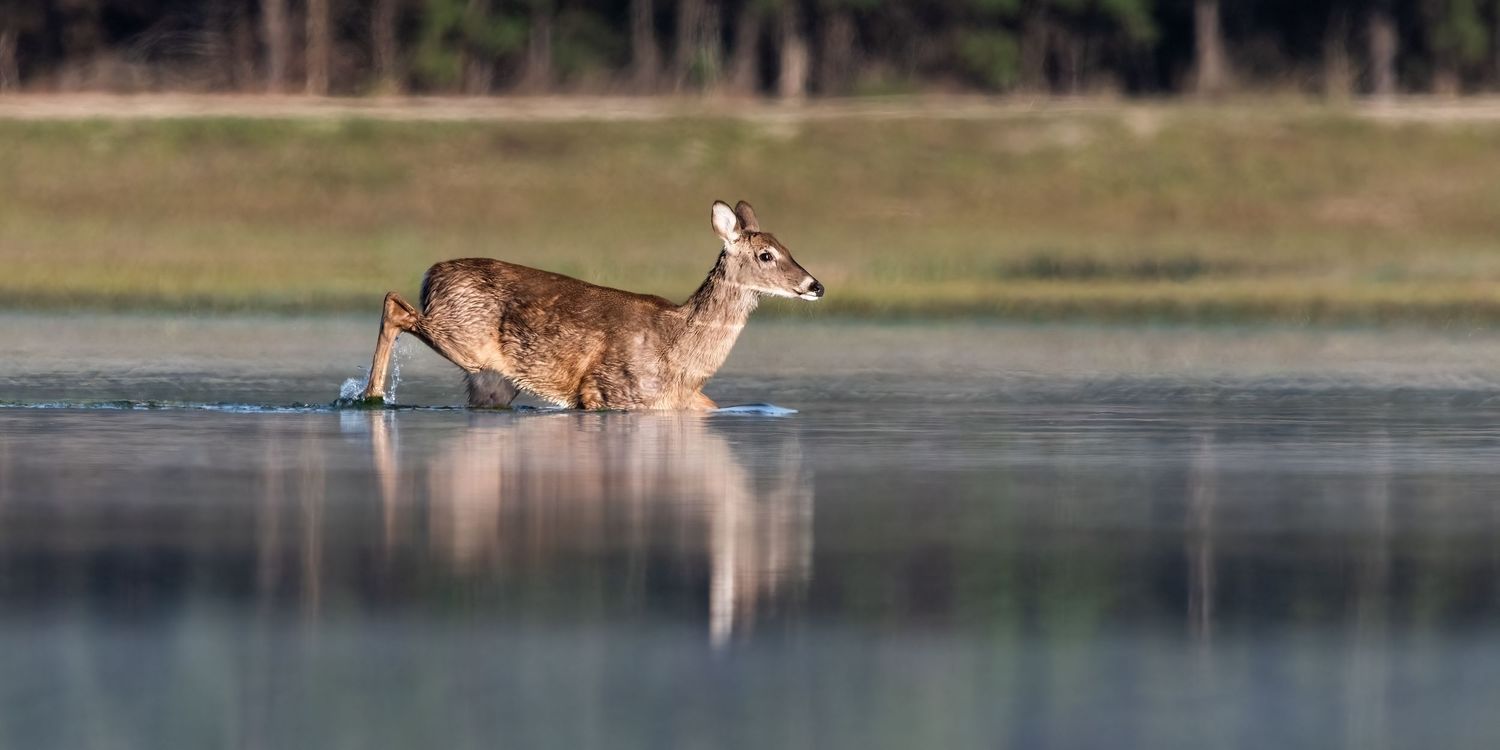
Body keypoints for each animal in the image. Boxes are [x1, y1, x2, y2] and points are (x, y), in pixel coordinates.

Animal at [359, 200, 824, 410]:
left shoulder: (688, 404)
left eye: (787, 247)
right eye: (766, 254)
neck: (677, 354)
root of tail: (432, 273)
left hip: (491, 380)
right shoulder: (605, 391)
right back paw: (370, 396)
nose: (815, 285)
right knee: (394, 304)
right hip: (465, 334)